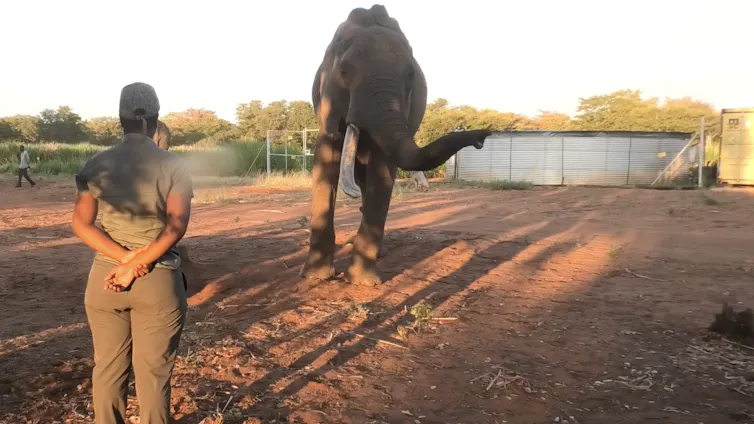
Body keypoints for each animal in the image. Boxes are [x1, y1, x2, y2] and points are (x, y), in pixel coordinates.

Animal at [300, 4, 491, 286]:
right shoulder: (327, 106)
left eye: (411, 76)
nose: (482, 138)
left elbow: (382, 170)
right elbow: (325, 161)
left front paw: (362, 282)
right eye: (344, 72)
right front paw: (316, 277)